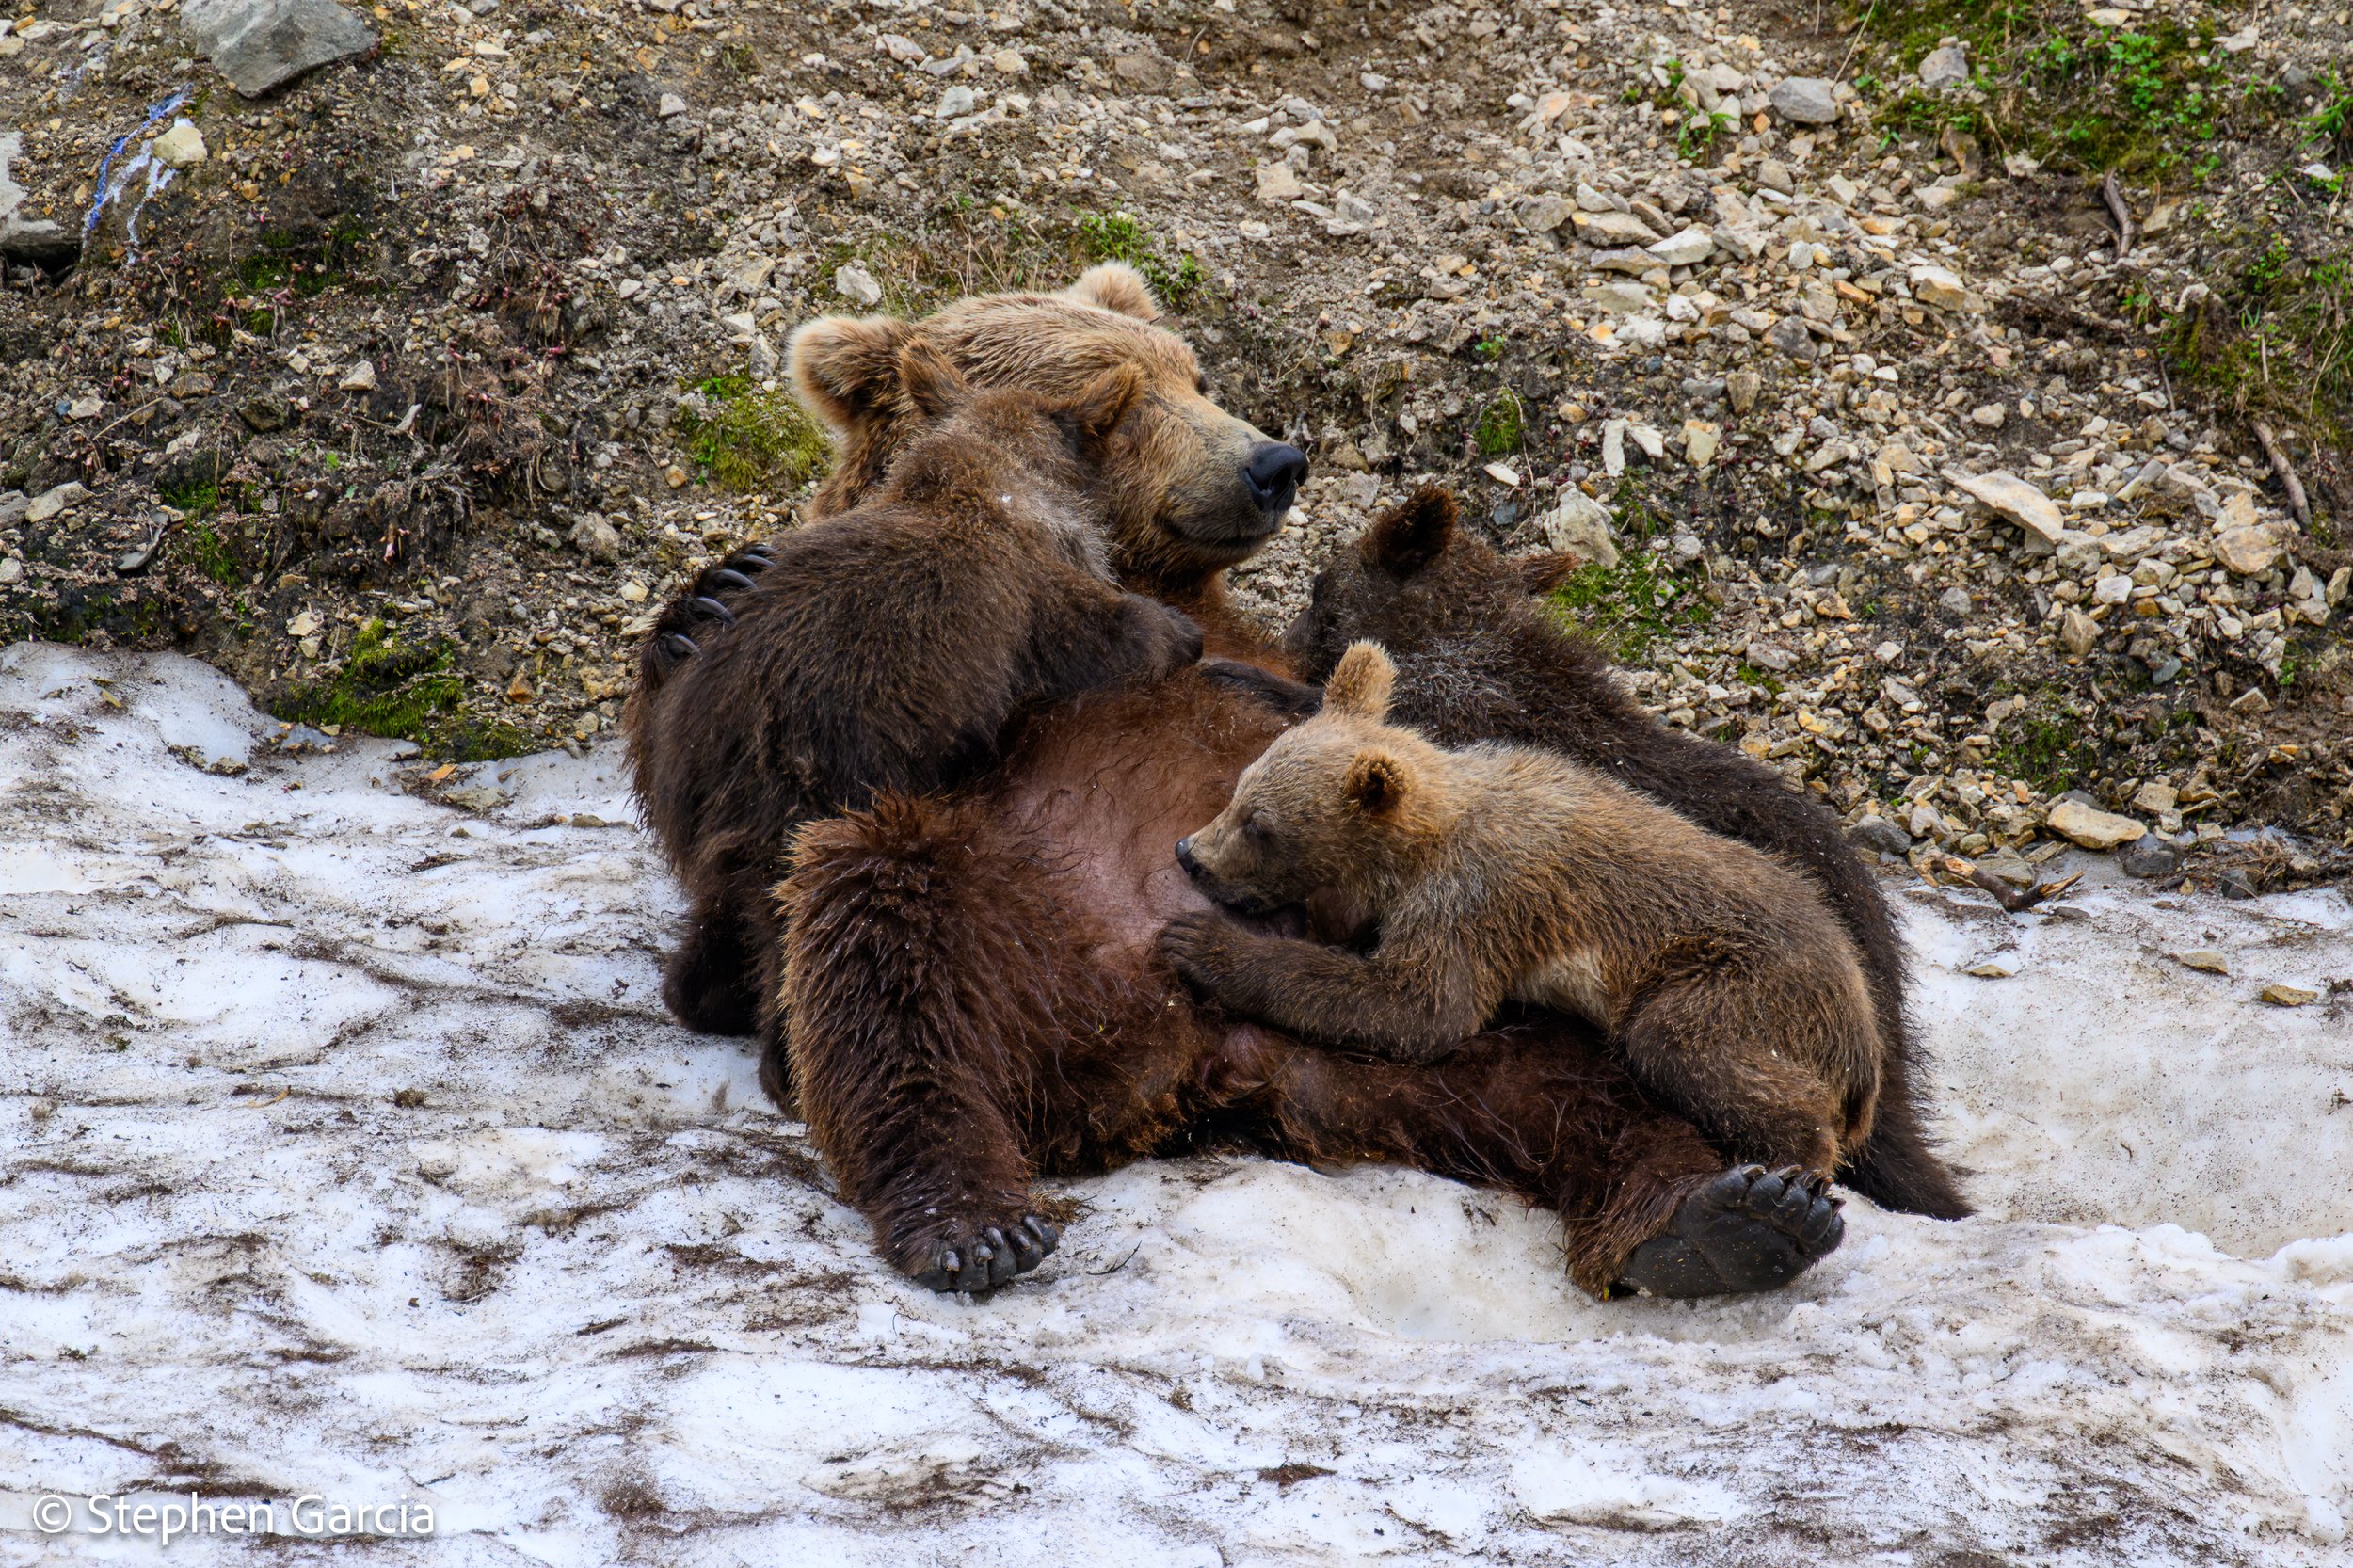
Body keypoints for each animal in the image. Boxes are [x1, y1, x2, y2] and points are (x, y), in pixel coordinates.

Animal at [1162, 640, 1879, 1197]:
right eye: (1240, 792)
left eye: (1260, 826)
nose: (1190, 853)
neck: (1420, 847)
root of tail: (1864, 1031)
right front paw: (1236, 672)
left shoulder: (1474, 903)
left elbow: (1418, 1006)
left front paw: (1202, 944)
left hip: (1743, 981)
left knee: (1687, 1042)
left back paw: (1793, 1170)